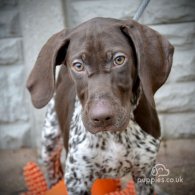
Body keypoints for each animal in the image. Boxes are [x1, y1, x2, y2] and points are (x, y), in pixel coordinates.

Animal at [27, 17, 174, 194]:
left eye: (119, 59)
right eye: (78, 65)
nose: (102, 117)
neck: (115, 136)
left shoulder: (145, 173)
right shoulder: (77, 179)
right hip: (48, 143)